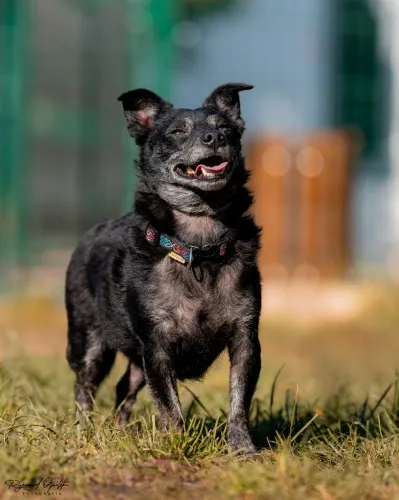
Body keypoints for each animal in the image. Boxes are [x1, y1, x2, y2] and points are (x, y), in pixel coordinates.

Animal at [65, 83, 262, 454]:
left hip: (134, 360)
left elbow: (239, 399)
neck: (199, 247)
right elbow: (169, 405)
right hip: (91, 343)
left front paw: (242, 448)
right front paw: (176, 445)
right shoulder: (156, 346)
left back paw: (122, 431)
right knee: (84, 387)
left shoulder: (245, 339)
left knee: (123, 387)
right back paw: (82, 433)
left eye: (227, 129)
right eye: (178, 132)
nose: (216, 137)